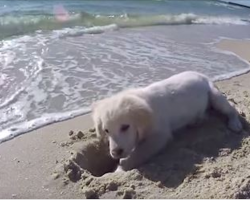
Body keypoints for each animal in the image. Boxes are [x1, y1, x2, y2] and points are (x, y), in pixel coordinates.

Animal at [91, 71, 242, 171]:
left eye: (125, 127)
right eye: (106, 130)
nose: (115, 153)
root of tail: (201, 74)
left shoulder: (160, 136)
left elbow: (140, 152)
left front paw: (121, 167)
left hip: (215, 96)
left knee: (232, 108)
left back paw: (235, 124)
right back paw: (197, 120)